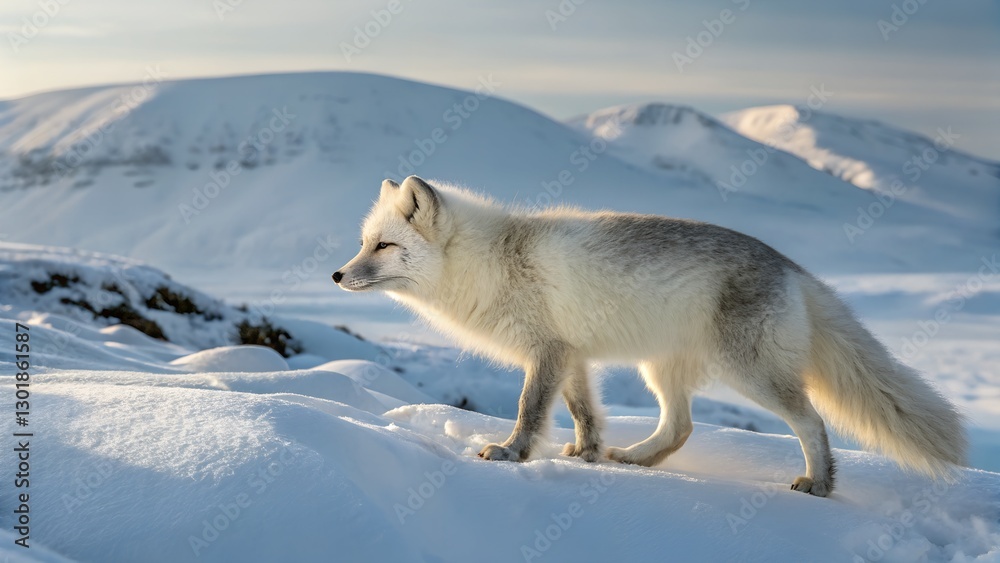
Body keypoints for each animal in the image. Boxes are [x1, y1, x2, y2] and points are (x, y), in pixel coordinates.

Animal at [333, 175, 966, 497]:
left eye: (384, 246)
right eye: (365, 242)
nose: (337, 275)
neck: (491, 260)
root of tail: (792, 267)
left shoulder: (547, 352)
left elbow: (529, 408)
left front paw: (511, 454)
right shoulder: (573, 356)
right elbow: (585, 412)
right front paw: (588, 456)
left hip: (751, 374)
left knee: (811, 421)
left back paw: (820, 482)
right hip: (661, 370)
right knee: (680, 428)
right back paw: (635, 459)